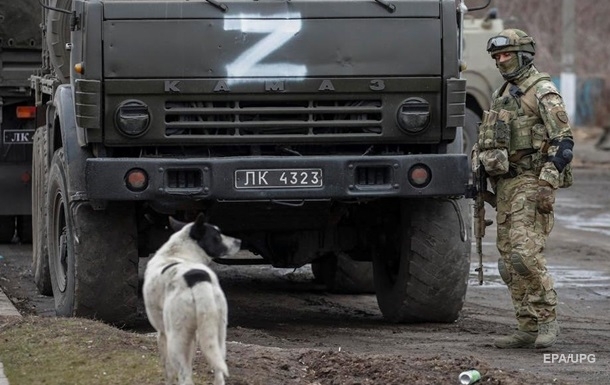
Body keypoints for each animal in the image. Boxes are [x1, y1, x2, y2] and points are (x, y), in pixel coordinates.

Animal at [141, 213, 239, 384]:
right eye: (218, 236)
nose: (240, 241)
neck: (176, 253)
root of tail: (198, 280)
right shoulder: (192, 338)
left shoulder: (162, 334)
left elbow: (169, 371)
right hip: (218, 336)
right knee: (218, 374)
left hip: (176, 340)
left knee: (184, 376)